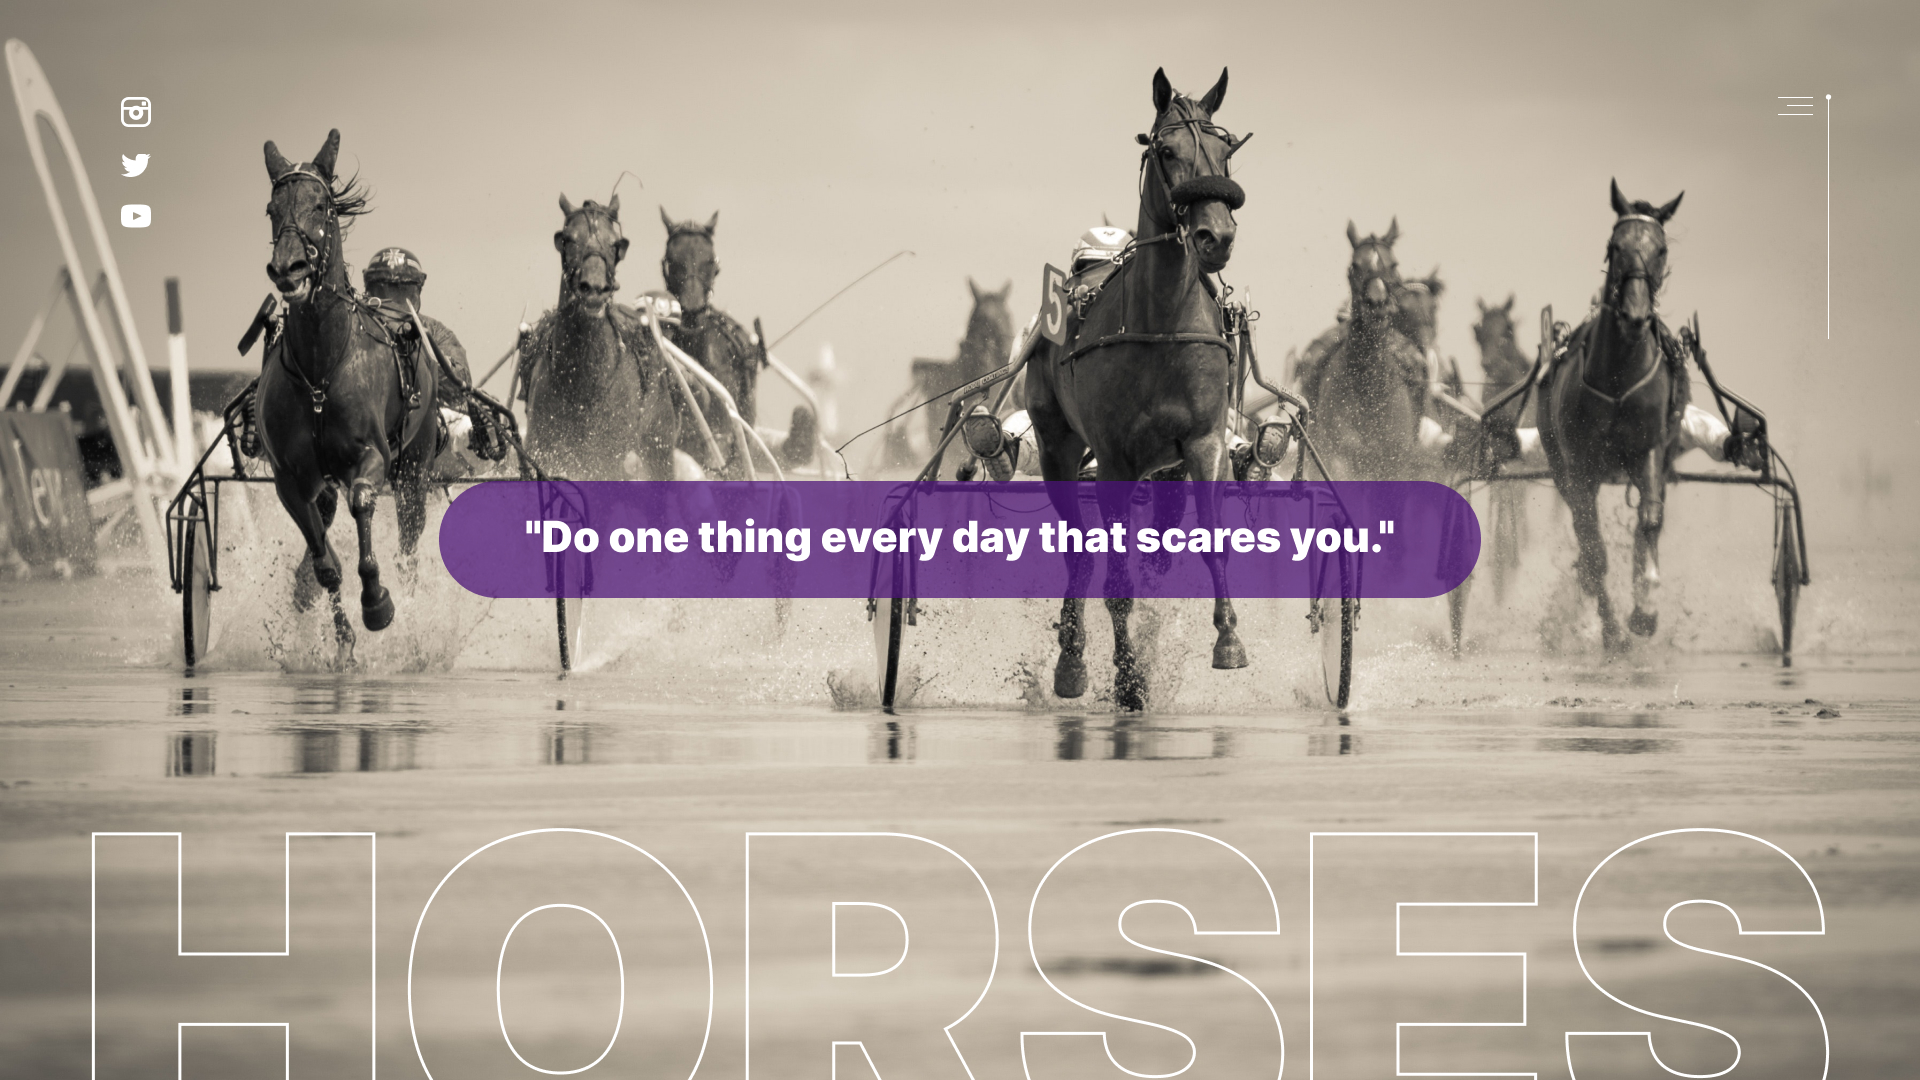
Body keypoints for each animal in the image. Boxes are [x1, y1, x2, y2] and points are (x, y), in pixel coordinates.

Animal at [257, 129, 437, 640]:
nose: (289, 269)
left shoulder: (372, 456)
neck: (320, 371)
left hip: (415, 468)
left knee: (409, 542)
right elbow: (325, 563)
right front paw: (342, 638)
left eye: (322, 206)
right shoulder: (291, 480)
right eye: (272, 209)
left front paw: (377, 601)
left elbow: (362, 502)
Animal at [519, 194, 681, 481]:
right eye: (568, 239)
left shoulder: (607, 463)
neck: (582, 386)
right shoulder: (544, 451)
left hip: (658, 447)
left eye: (615, 244)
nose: (594, 288)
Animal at [1024, 67, 1251, 711]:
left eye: (1226, 151)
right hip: (1057, 446)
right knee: (1078, 549)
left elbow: (1210, 541)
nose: (1215, 235)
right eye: (1166, 150)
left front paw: (1228, 640)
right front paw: (1128, 679)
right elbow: (1116, 579)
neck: (1161, 321)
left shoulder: (1203, 442)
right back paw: (1072, 661)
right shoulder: (1115, 460)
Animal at [1305, 219, 1432, 481]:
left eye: (1393, 265)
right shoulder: (1339, 458)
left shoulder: (1394, 464)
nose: (1376, 303)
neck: (1370, 389)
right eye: (1355, 266)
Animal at [1538, 179, 1686, 651]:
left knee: (1647, 522)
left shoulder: (1650, 449)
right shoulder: (1580, 465)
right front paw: (1612, 630)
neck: (1620, 378)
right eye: (1614, 246)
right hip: (1560, 465)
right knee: (1586, 537)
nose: (1635, 314)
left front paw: (1645, 610)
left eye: (1661, 249)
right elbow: (1594, 548)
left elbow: (1651, 522)